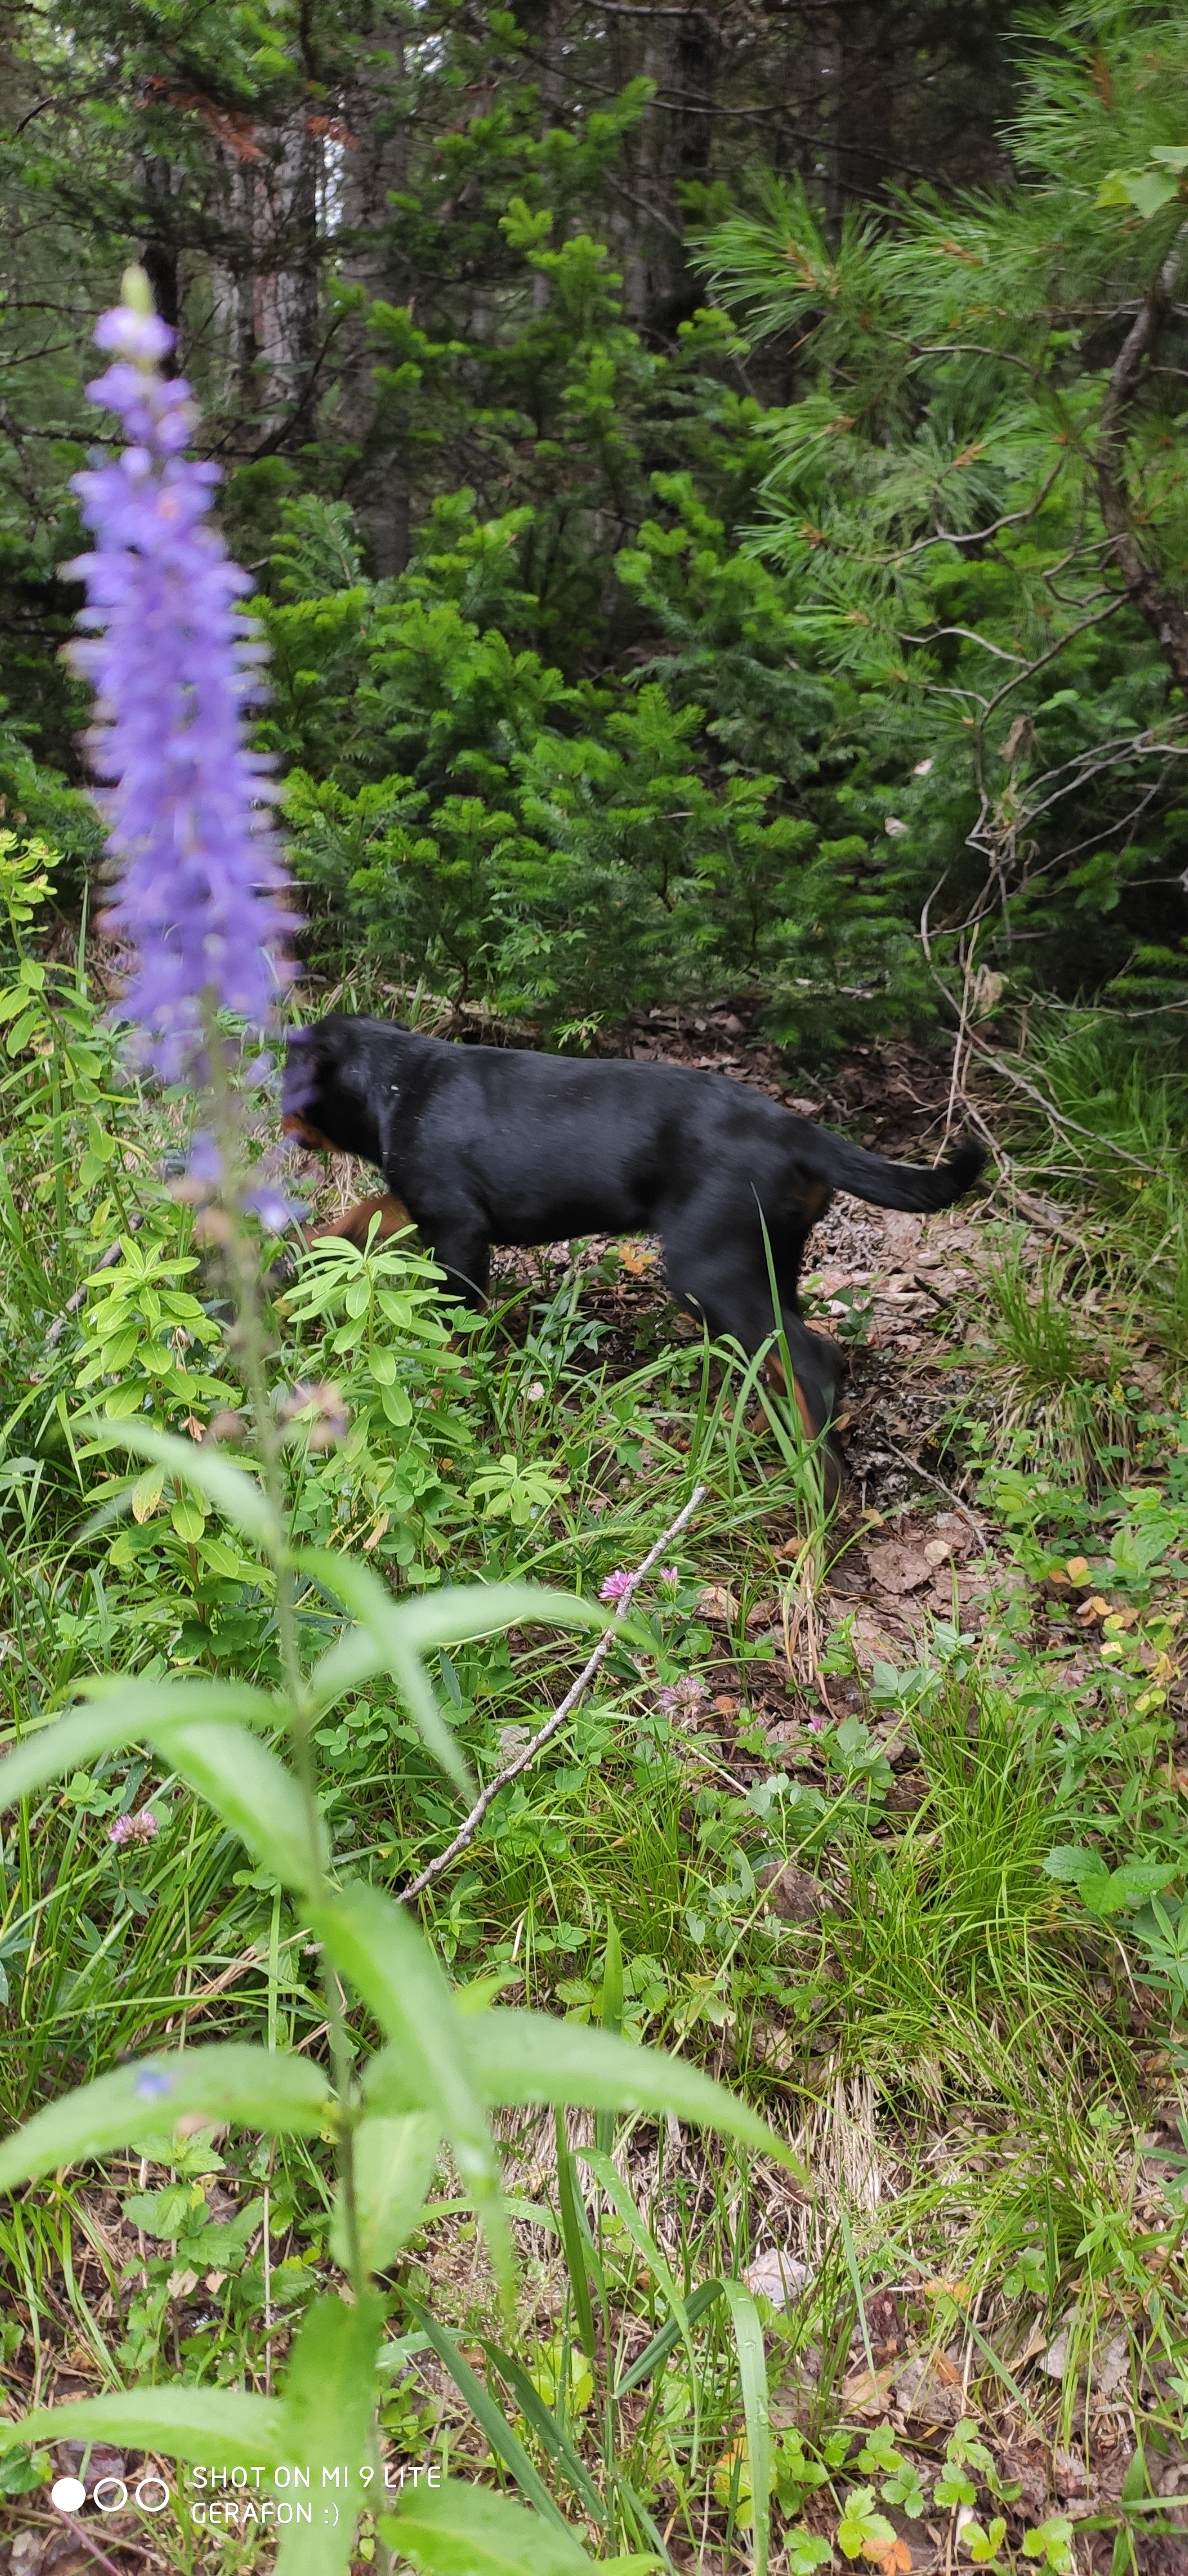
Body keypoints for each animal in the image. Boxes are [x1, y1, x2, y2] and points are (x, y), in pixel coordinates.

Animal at [280, 1015, 979, 1473]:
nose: (273, 1116)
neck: (398, 1081)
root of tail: (799, 1132)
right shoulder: (412, 1203)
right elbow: (349, 1221)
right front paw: (288, 1271)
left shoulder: (458, 1229)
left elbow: (451, 1332)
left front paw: (439, 1400)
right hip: (768, 1258)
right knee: (786, 1356)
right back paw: (760, 1437)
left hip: (708, 1267)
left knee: (810, 1359)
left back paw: (814, 1511)